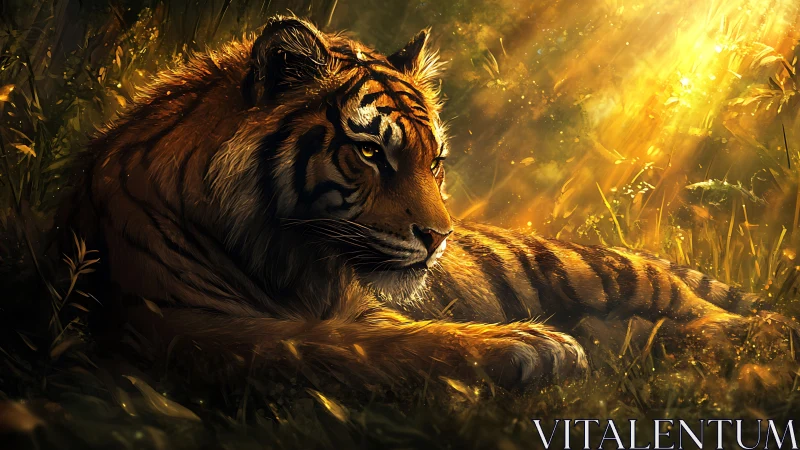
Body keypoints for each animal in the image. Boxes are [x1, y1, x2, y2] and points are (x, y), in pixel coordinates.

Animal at [63, 15, 778, 391]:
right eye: (370, 152)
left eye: (435, 162)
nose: (438, 237)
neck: (290, 255)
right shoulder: (184, 324)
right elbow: (350, 343)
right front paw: (533, 343)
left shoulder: (359, 306)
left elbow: (403, 330)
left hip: (600, 271)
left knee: (691, 303)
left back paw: (758, 335)